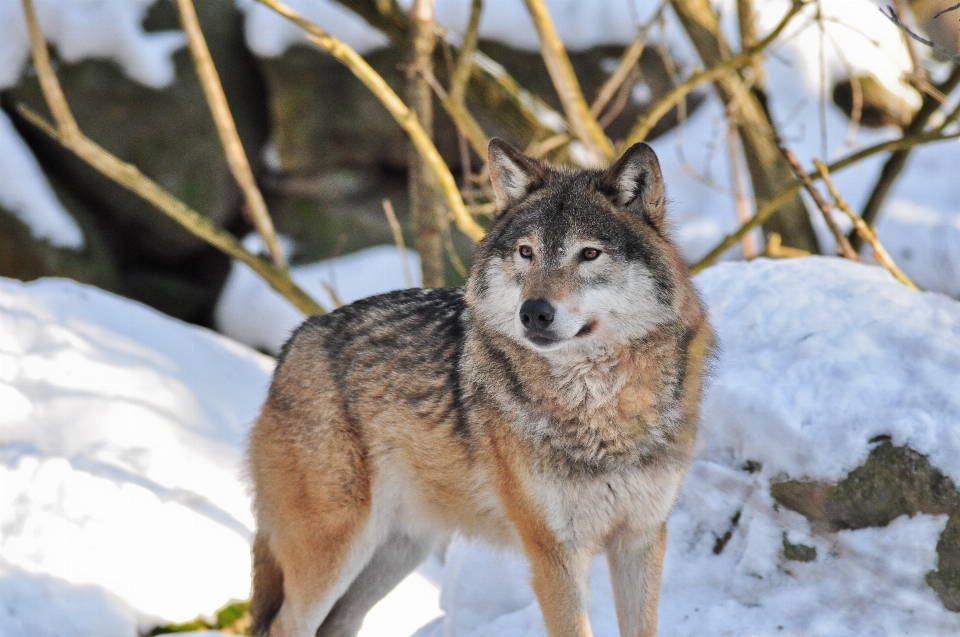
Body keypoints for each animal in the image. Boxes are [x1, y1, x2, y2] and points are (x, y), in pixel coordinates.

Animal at [248, 139, 712, 636]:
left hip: (395, 552)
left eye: (589, 254)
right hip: (336, 548)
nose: (534, 312)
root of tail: (296, 339)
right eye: (527, 252)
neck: (599, 409)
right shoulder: (555, 554)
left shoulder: (641, 540)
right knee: (284, 625)